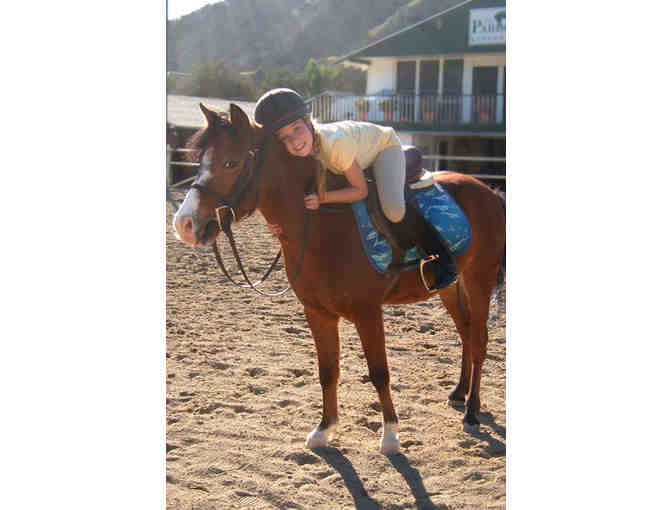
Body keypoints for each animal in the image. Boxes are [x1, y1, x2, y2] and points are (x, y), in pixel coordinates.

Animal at [172, 103, 506, 455]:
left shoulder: (367, 312)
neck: (321, 225)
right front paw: (324, 429)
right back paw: (459, 392)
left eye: (231, 163)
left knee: (479, 341)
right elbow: (328, 371)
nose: (185, 225)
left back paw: (472, 412)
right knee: (466, 333)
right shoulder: (317, 313)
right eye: (200, 160)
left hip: (480, 279)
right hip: (451, 287)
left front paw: (390, 436)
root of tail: (488, 191)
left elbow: (379, 372)